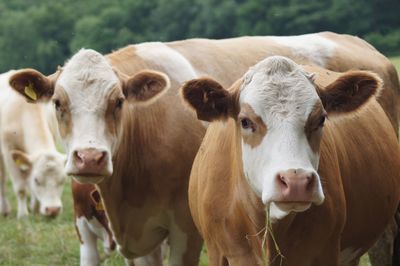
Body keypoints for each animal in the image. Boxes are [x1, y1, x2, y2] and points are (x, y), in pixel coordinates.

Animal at [0, 70, 66, 218]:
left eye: (62, 180)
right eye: (37, 180)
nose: (53, 210)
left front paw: (35, 208)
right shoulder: (8, 150)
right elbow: (21, 188)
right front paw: (23, 214)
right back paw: (4, 209)